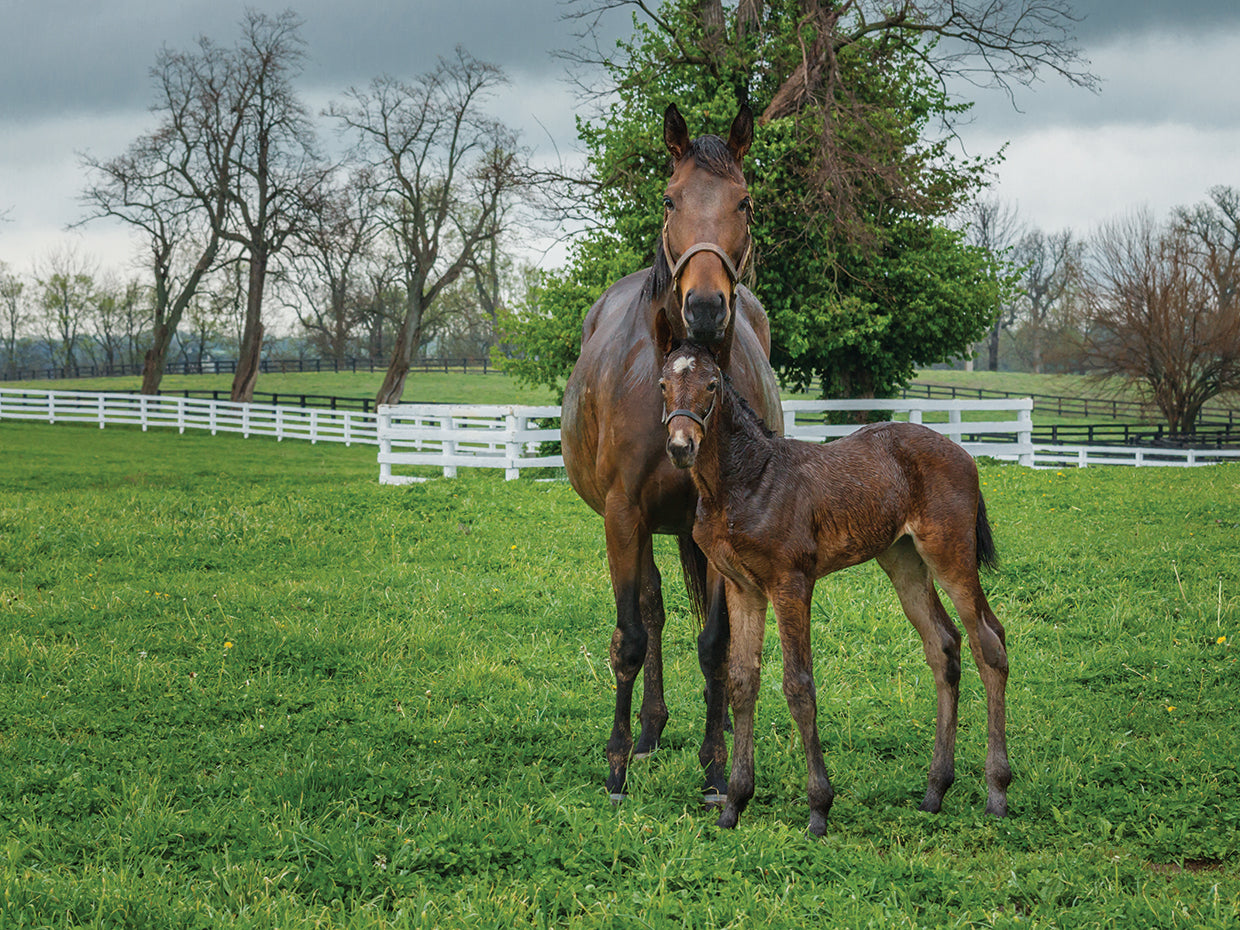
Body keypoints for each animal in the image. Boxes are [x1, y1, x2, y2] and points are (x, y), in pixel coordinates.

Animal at [560, 103, 784, 803]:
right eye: (669, 198)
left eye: (744, 202)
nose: (706, 306)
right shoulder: (622, 515)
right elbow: (630, 636)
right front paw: (616, 762)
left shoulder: (714, 524)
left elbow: (715, 644)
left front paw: (714, 767)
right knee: (651, 611)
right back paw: (649, 730)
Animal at [656, 337, 1012, 835]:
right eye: (663, 384)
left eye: (711, 384)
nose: (680, 446)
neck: (745, 481)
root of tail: (964, 454)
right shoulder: (742, 588)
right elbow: (742, 681)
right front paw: (734, 804)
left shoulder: (791, 584)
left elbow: (799, 686)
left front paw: (818, 809)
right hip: (903, 560)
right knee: (944, 646)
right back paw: (935, 791)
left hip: (950, 555)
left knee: (989, 643)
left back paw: (997, 791)